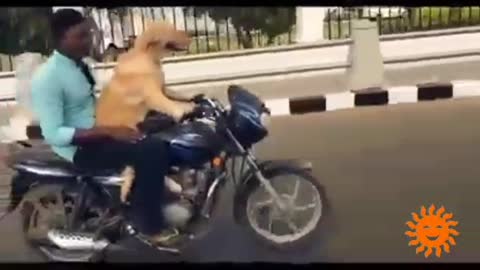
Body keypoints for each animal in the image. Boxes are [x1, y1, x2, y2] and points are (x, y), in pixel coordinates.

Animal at [95, 21, 195, 202]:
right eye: (171, 30)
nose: (190, 35)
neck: (147, 56)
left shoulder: (162, 88)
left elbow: (174, 93)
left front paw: (189, 98)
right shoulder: (153, 94)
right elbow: (168, 103)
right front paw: (182, 109)